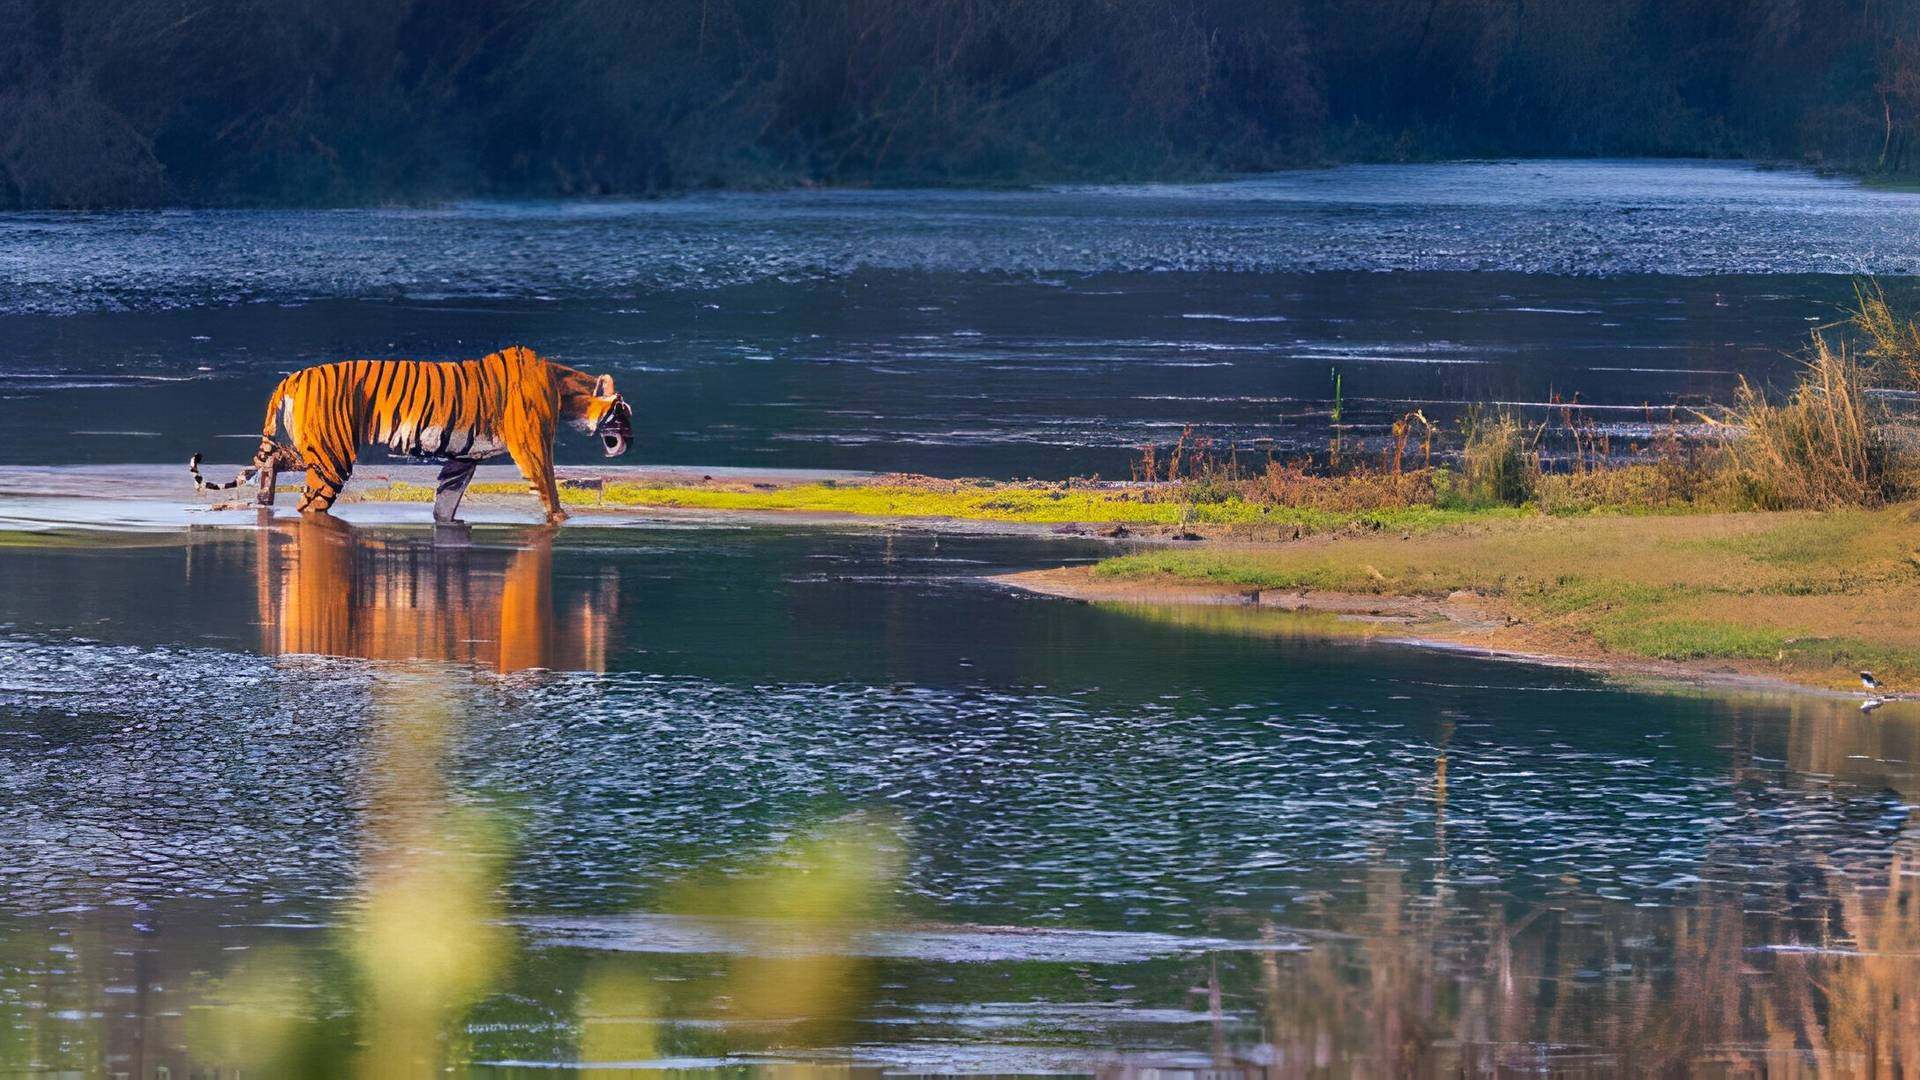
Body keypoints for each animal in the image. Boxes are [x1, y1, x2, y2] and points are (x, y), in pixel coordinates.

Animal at [186, 343, 625, 522]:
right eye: (625, 411)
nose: (632, 441)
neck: (565, 389)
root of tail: (291, 376)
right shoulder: (533, 445)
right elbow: (548, 483)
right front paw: (561, 519)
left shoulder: (463, 457)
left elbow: (447, 495)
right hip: (331, 457)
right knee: (309, 503)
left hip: (313, 448)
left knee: (273, 460)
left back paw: (264, 501)